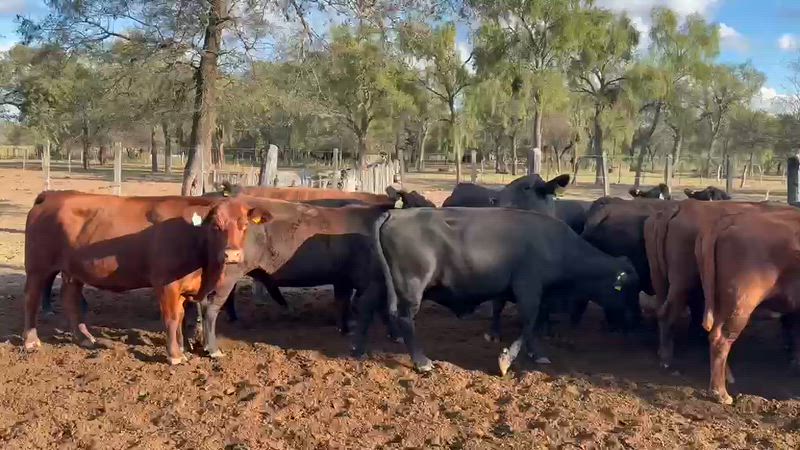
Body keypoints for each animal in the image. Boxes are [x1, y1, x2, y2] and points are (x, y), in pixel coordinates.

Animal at [23, 191, 268, 364]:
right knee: (31, 300)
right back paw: (31, 341)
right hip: (37, 267)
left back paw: (83, 338)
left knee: (70, 300)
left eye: (244, 225)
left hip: (74, 272)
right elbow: (171, 318)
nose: (232, 254)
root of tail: (52, 195)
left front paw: (182, 349)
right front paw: (175, 355)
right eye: (216, 226)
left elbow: (180, 318)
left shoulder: (183, 289)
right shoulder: (166, 284)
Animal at [195, 197, 400, 358]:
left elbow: (343, 303)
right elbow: (380, 309)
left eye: (244, 224)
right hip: (228, 274)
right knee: (211, 306)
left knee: (206, 302)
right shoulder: (372, 282)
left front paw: (345, 327)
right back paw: (212, 348)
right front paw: (393, 334)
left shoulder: (343, 279)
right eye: (219, 225)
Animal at [361, 207, 640, 375]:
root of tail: (394, 214)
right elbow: (528, 323)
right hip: (412, 288)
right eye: (627, 291)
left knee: (372, 307)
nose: (633, 324)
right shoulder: (528, 289)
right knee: (405, 320)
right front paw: (507, 359)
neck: (557, 245)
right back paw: (422, 362)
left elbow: (530, 324)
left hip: (382, 283)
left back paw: (361, 348)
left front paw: (533, 352)